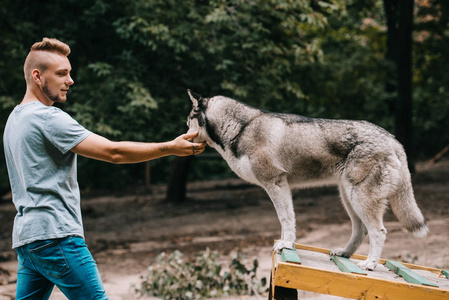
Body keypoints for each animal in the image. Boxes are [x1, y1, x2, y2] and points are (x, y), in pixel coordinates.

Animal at [186, 90, 428, 270]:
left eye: (188, 120)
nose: (183, 134)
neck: (241, 129)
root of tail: (393, 139)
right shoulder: (281, 186)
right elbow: (287, 219)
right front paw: (285, 243)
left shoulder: (275, 184)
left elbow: (285, 219)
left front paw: (286, 244)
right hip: (348, 199)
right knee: (361, 231)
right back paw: (345, 253)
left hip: (359, 198)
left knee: (378, 231)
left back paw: (369, 264)